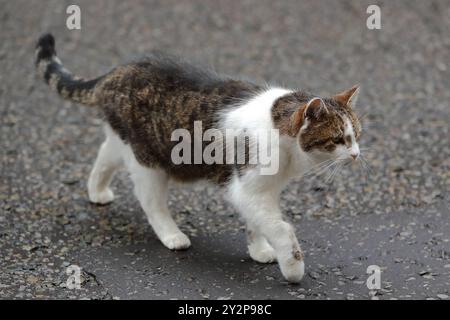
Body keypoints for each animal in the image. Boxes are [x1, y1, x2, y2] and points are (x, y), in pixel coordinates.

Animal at [37, 33, 364, 282]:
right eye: (338, 139)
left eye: (357, 135)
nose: (356, 155)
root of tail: (114, 72)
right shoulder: (246, 189)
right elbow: (281, 228)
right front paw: (293, 266)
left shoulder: (264, 191)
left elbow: (257, 223)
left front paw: (259, 250)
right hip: (149, 160)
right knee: (150, 201)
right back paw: (172, 235)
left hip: (128, 142)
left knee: (105, 153)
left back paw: (97, 191)